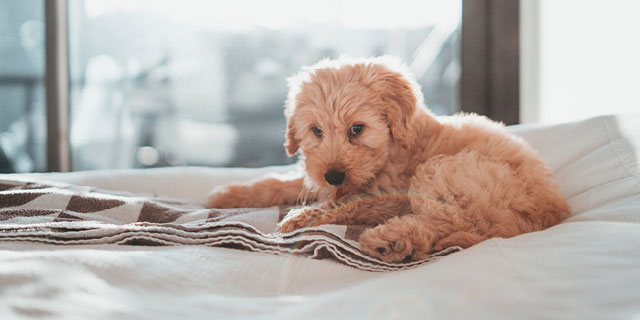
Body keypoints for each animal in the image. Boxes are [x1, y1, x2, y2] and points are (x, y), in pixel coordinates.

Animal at [206, 57, 568, 262]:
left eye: (357, 129)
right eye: (316, 131)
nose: (333, 176)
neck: (395, 150)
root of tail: (548, 213)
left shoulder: (390, 195)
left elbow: (347, 204)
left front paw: (301, 218)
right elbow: (282, 182)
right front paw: (229, 194)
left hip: (442, 172)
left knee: (456, 226)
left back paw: (389, 241)